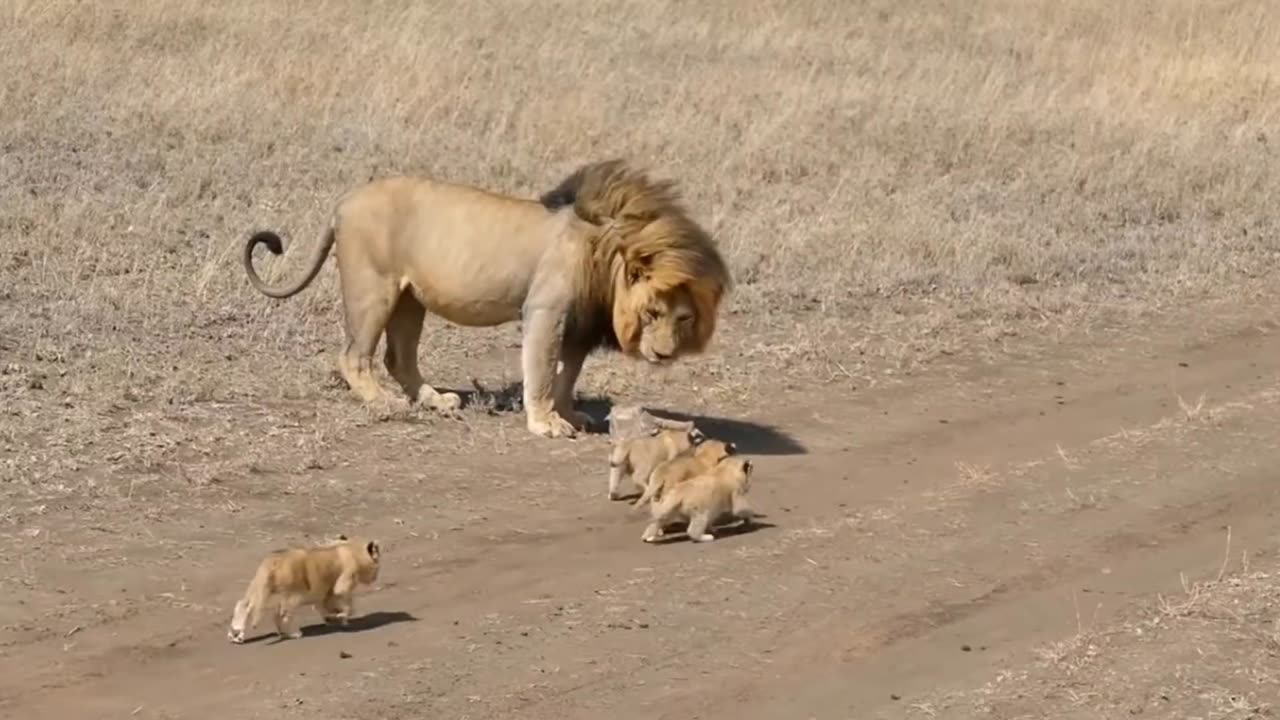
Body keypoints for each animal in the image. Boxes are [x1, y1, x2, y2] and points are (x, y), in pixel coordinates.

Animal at [241, 158, 732, 438]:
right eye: (652, 312)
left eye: (684, 318)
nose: (664, 354)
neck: (607, 250)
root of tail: (343, 202)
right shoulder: (546, 311)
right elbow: (541, 372)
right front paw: (545, 423)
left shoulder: (578, 325)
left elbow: (566, 375)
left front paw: (571, 415)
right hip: (373, 287)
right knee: (353, 356)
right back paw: (383, 402)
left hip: (410, 298)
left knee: (399, 357)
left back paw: (434, 400)